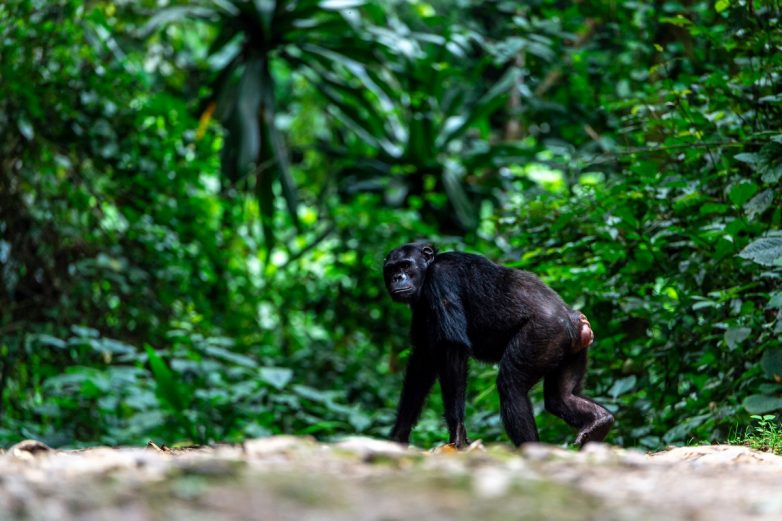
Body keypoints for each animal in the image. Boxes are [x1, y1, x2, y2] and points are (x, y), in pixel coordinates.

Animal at [382, 240, 616, 446]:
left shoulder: (441, 278)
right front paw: (398, 436)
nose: (398, 277)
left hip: (543, 335)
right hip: (574, 350)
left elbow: (452, 347)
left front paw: (457, 430)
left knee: (511, 385)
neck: (428, 271)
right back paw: (599, 422)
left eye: (405, 265)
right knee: (560, 397)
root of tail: (577, 322)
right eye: (391, 269)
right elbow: (422, 363)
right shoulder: (421, 308)